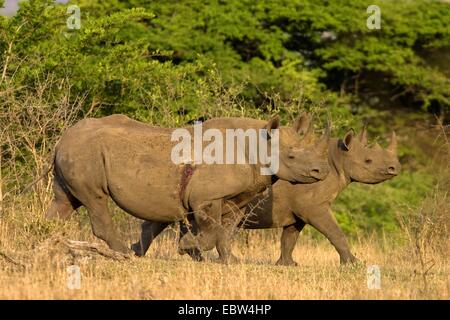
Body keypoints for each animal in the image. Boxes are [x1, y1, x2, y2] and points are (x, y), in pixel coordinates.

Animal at [45, 112, 330, 260]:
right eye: (291, 157)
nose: (322, 171)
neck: (257, 143)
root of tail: (60, 141)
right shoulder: (207, 197)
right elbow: (212, 231)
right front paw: (188, 247)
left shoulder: (237, 199)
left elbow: (225, 233)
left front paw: (229, 261)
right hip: (84, 153)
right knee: (95, 199)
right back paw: (124, 254)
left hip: (76, 151)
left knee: (64, 202)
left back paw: (45, 242)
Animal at [134, 125, 400, 264]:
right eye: (368, 161)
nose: (395, 168)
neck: (338, 160)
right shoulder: (313, 206)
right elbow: (334, 232)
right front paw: (353, 263)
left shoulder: (298, 211)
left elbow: (289, 238)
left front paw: (287, 264)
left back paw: (136, 253)